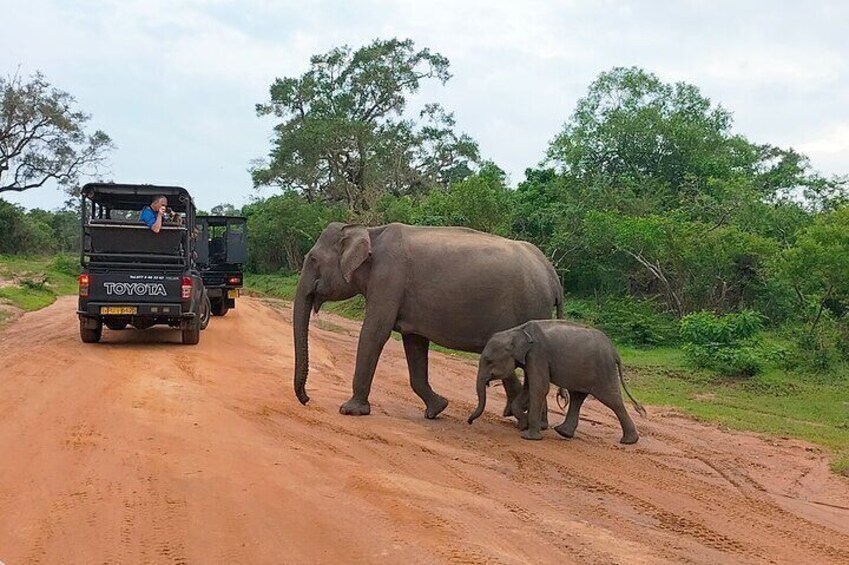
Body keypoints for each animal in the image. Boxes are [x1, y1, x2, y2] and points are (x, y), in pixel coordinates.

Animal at [294, 223, 564, 416]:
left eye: (313, 259)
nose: (307, 399)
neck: (369, 231)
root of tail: (552, 275)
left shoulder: (388, 278)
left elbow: (375, 332)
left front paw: (350, 410)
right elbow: (414, 343)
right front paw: (437, 409)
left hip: (532, 307)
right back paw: (516, 413)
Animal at [468, 320, 644, 442]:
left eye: (489, 361)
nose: (469, 422)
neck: (518, 331)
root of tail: (615, 352)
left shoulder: (538, 354)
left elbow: (539, 387)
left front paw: (528, 436)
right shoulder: (531, 359)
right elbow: (529, 387)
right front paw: (523, 425)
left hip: (603, 370)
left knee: (612, 400)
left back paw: (629, 441)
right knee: (577, 396)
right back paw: (563, 432)